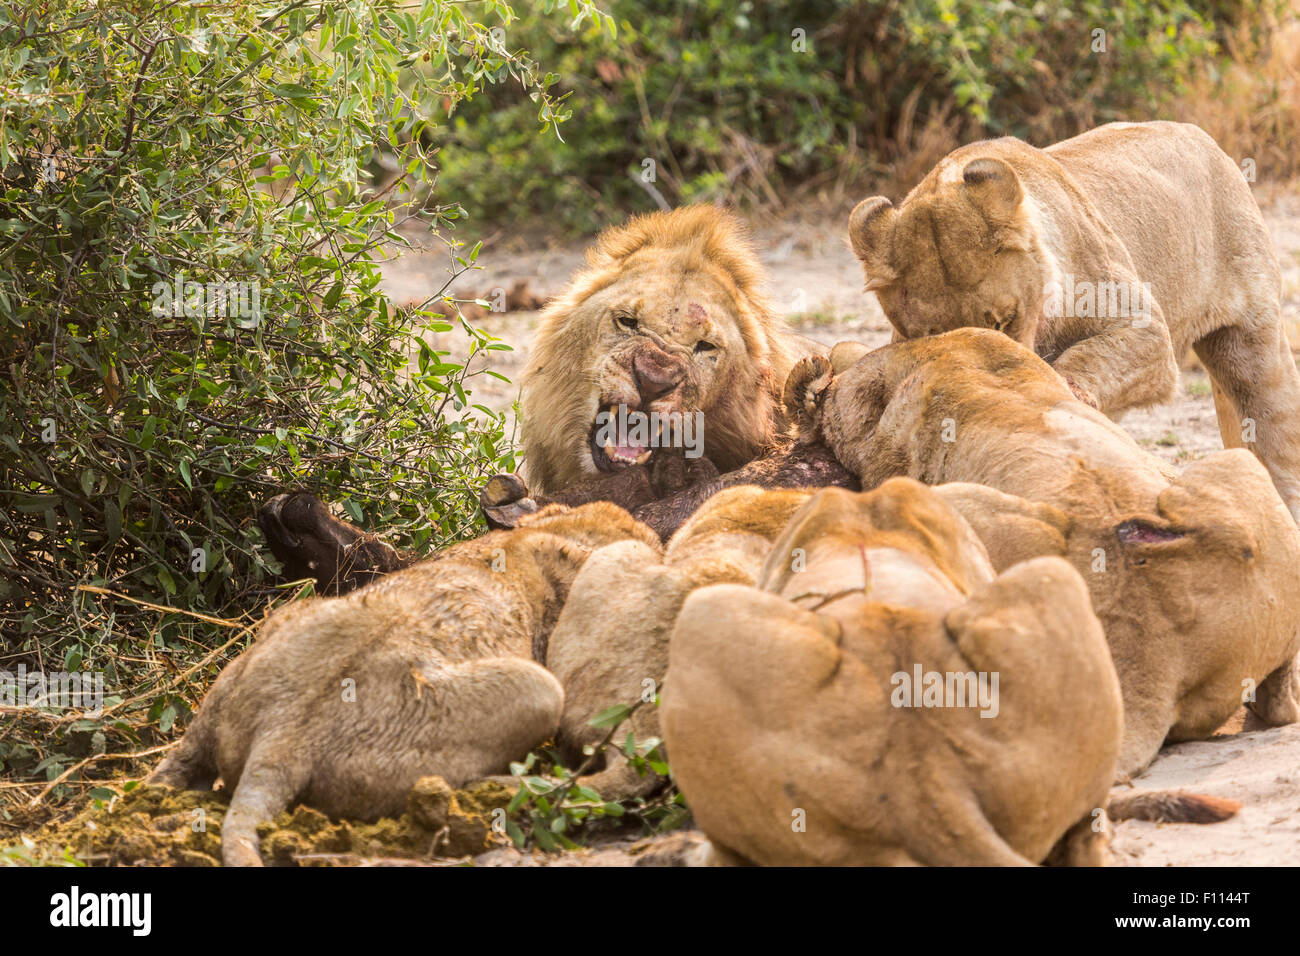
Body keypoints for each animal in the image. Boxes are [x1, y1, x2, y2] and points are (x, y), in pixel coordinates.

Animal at [847, 121, 1300, 522]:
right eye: (934, 336)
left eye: (1001, 323)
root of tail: (1204, 139)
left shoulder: (1146, 332)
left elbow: (1087, 358)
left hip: (1254, 347)